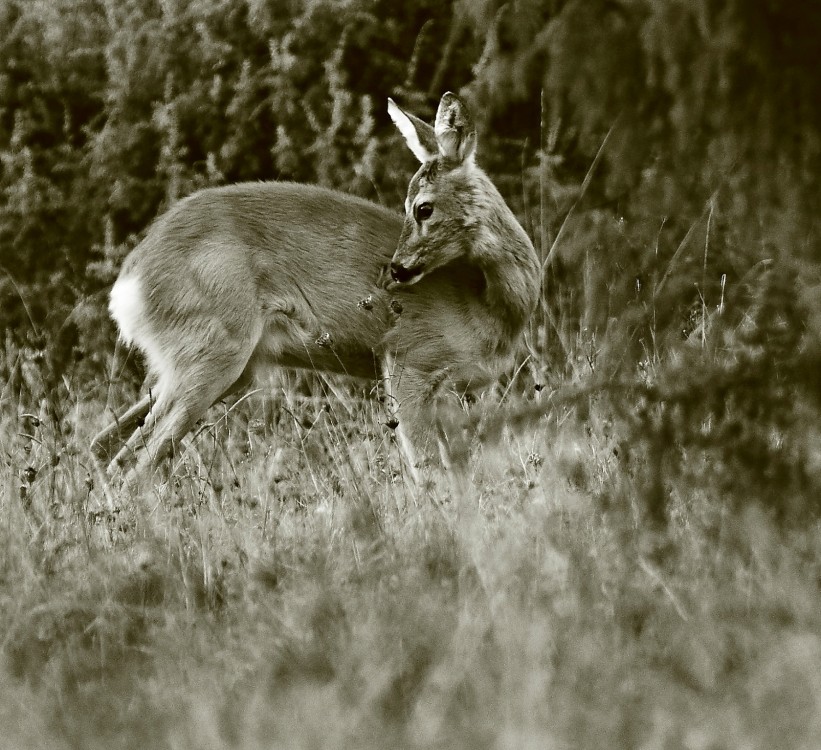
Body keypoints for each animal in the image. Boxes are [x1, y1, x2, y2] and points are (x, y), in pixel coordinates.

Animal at [91, 91, 540, 490]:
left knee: (102, 445)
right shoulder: (409, 360)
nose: (394, 269)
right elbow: (429, 472)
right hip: (212, 351)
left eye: (423, 207)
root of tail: (129, 281)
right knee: (132, 464)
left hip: (216, 365)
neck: (490, 305)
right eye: (411, 205)